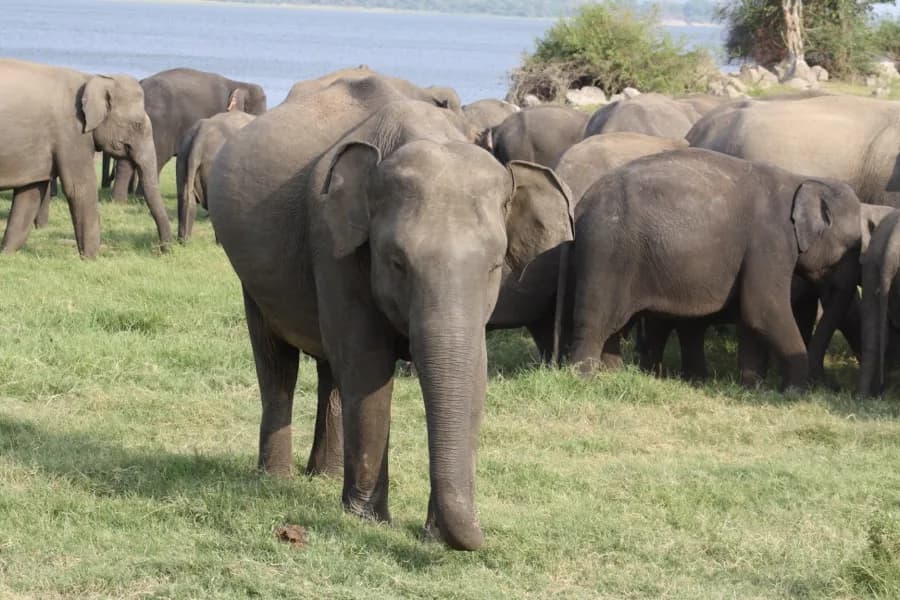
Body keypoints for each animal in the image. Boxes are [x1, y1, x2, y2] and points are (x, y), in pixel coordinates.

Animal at [0, 59, 172, 257]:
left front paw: (7, 253)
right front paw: (92, 257)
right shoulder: (72, 132)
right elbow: (80, 187)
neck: (92, 78)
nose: (163, 249)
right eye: (138, 125)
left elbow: (31, 192)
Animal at [110, 68, 267, 202]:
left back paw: (122, 200)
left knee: (128, 160)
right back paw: (140, 198)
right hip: (159, 125)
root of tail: (141, 83)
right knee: (157, 157)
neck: (239, 83)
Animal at [207, 75, 573, 551]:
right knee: (278, 364)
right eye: (398, 262)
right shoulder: (333, 241)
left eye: (495, 266)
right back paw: (276, 479)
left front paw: (432, 534)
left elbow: (472, 372)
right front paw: (369, 520)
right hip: (253, 280)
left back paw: (323, 477)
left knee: (331, 369)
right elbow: (368, 363)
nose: (483, 535)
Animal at [568, 148, 864, 390]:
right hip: (605, 252)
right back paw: (583, 379)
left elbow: (750, 317)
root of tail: (582, 203)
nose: (828, 385)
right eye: (853, 246)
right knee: (597, 320)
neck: (803, 179)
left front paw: (753, 388)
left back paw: (614, 375)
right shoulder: (770, 242)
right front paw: (793, 391)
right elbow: (763, 309)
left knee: (618, 325)